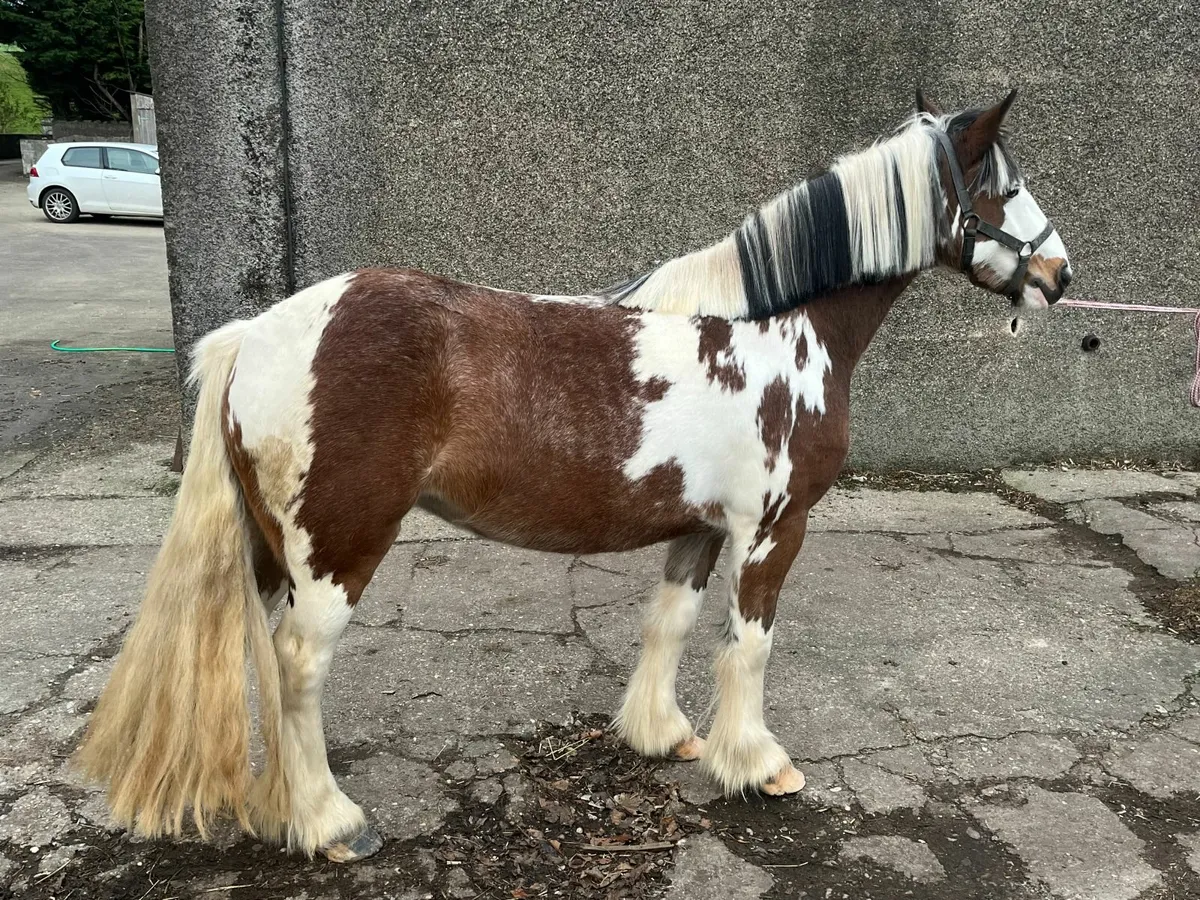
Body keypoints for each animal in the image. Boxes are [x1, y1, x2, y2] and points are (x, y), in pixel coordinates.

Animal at [75, 89, 1072, 862]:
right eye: (1007, 187)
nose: (1060, 276)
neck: (776, 328)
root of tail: (258, 334)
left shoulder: (699, 527)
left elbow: (670, 625)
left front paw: (664, 736)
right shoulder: (771, 527)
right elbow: (749, 645)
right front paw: (757, 763)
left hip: (274, 549)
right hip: (338, 548)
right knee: (296, 663)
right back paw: (329, 823)